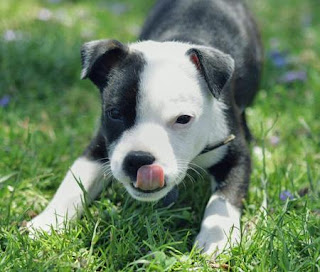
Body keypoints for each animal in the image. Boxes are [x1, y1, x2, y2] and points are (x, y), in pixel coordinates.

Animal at [27, 0, 262, 258]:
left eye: (183, 119)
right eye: (114, 113)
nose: (138, 160)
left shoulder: (234, 153)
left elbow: (224, 199)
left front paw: (216, 239)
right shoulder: (100, 146)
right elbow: (74, 180)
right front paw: (47, 222)